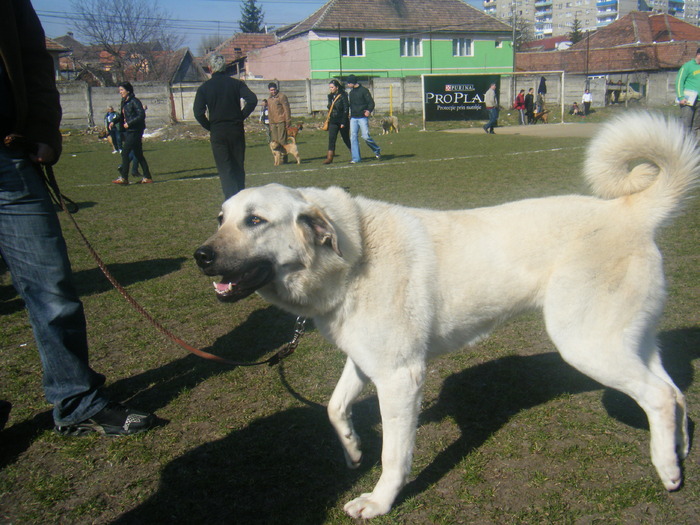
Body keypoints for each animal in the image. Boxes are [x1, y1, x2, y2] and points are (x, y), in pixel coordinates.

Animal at [194, 112, 696, 516]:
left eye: (255, 220)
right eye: (220, 218)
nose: (201, 256)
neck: (351, 256)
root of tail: (628, 211)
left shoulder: (400, 377)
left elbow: (395, 454)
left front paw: (379, 501)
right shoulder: (366, 361)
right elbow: (335, 407)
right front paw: (353, 451)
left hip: (586, 345)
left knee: (657, 396)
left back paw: (667, 470)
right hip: (628, 341)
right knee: (674, 394)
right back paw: (680, 452)